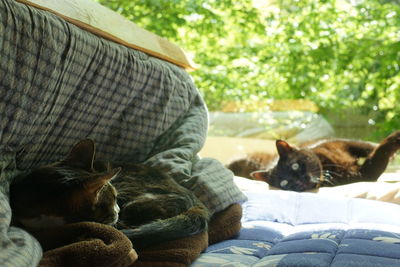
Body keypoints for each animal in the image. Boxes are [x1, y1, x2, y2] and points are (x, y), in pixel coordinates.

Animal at [228, 131, 400, 192]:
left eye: (295, 165)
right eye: (284, 183)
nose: (299, 182)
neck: (328, 165)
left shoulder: (343, 142)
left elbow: (370, 145)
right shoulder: (364, 174)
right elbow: (380, 152)